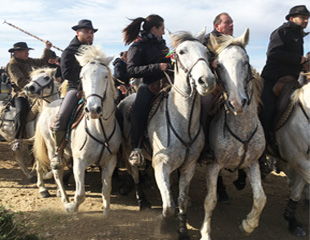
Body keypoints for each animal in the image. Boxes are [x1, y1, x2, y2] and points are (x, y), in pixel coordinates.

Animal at [33, 46, 120, 215]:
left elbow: (106, 189)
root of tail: (48, 106)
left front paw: (106, 212)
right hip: (51, 146)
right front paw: (71, 207)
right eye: (82, 76)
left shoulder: (110, 162)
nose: (93, 109)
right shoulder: (79, 162)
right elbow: (80, 195)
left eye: (105, 76)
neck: (99, 129)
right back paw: (63, 197)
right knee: (56, 171)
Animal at [117, 29, 217, 238]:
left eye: (206, 51)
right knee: (134, 174)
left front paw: (182, 229)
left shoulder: (189, 166)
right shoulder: (160, 165)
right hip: (128, 148)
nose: (207, 81)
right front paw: (163, 225)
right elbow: (169, 206)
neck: (184, 123)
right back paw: (142, 201)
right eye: (181, 51)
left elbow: (180, 200)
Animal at [201, 30, 266, 240]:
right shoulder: (214, 165)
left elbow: (260, 198)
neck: (242, 128)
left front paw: (248, 224)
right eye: (219, 66)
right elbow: (210, 201)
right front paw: (205, 232)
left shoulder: (252, 163)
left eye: (245, 61)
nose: (237, 103)